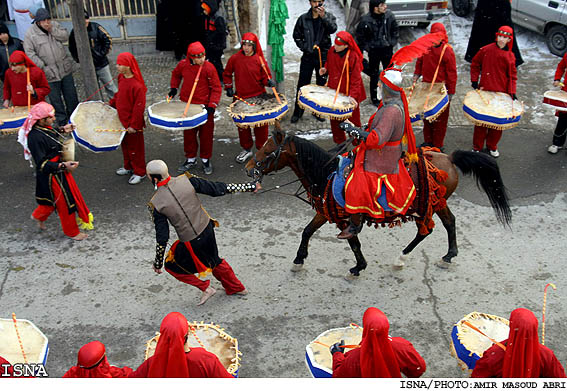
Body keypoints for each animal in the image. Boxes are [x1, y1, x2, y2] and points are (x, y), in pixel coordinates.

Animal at [246, 127, 512, 278]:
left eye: (268, 151)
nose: (248, 168)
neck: (327, 174)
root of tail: (449, 157)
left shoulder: (345, 217)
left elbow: (352, 242)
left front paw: (357, 267)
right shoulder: (327, 212)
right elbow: (308, 231)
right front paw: (299, 260)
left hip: (427, 205)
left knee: (427, 230)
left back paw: (402, 258)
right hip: (437, 203)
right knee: (449, 223)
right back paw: (448, 256)